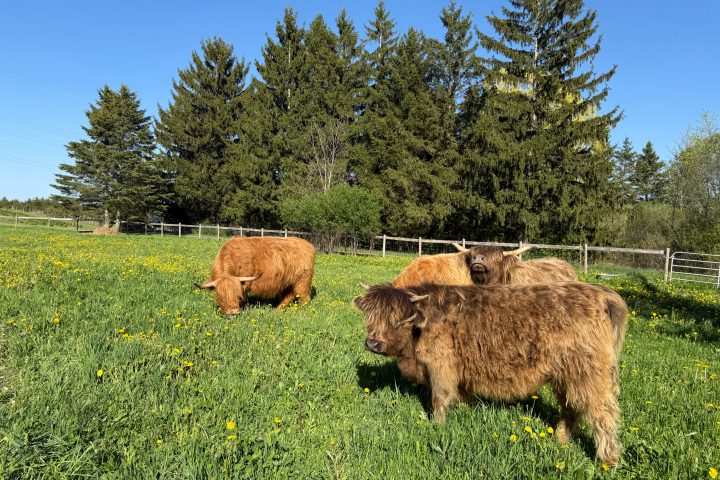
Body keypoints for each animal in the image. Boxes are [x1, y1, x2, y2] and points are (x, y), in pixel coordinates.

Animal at [354, 281, 628, 466]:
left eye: (398, 319)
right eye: (371, 316)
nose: (372, 343)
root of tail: (604, 295)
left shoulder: (440, 365)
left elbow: (439, 398)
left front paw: (438, 427)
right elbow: (462, 396)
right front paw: (465, 411)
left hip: (589, 373)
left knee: (603, 413)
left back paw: (608, 459)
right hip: (565, 374)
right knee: (570, 408)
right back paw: (560, 438)